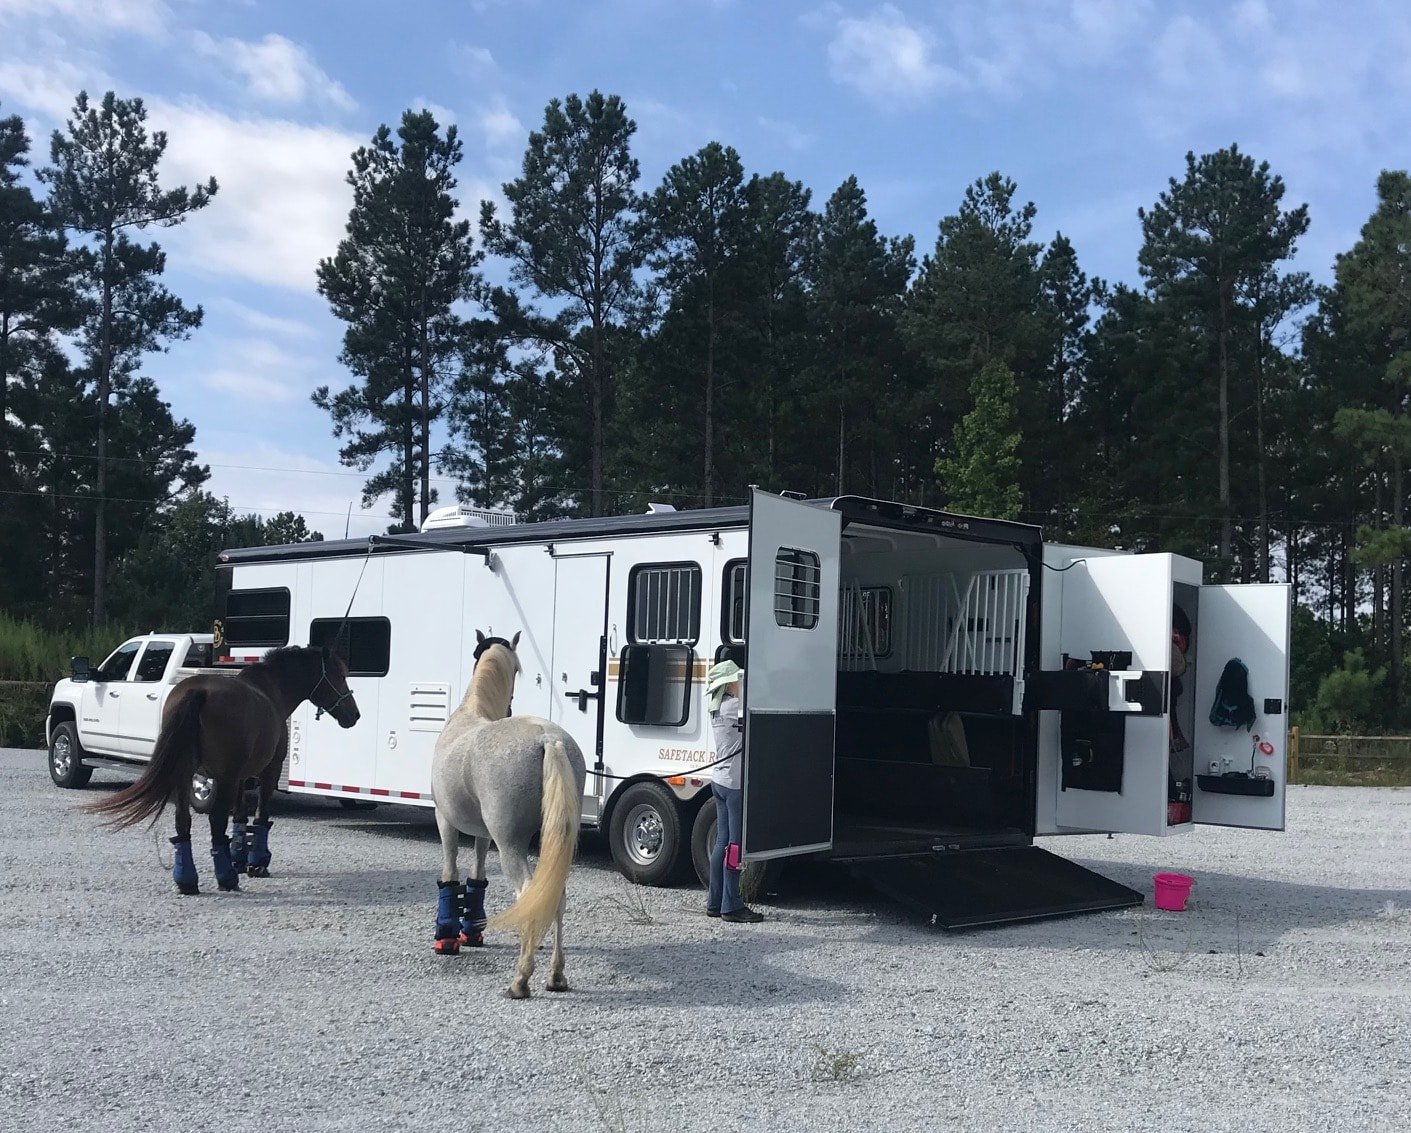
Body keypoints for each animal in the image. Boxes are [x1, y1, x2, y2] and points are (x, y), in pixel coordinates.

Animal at [88, 646, 361, 897]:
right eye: (339, 675)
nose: (354, 715)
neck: (272, 691)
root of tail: (199, 691)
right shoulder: (268, 771)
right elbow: (260, 815)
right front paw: (256, 863)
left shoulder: (241, 776)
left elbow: (239, 816)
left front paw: (239, 857)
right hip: (223, 777)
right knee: (216, 821)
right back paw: (226, 878)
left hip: (185, 774)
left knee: (183, 821)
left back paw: (187, 880)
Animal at [428, 629, 584, 998]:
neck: (467, 716)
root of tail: (549, 739)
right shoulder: (484, 834)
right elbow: (477, 875)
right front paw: (471, 931)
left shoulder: (445, 820)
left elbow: (450, 872)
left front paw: (447, 937)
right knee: (554, 896)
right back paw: (556, 976)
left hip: (511, 844)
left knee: (527, 892)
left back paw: (520, 980)